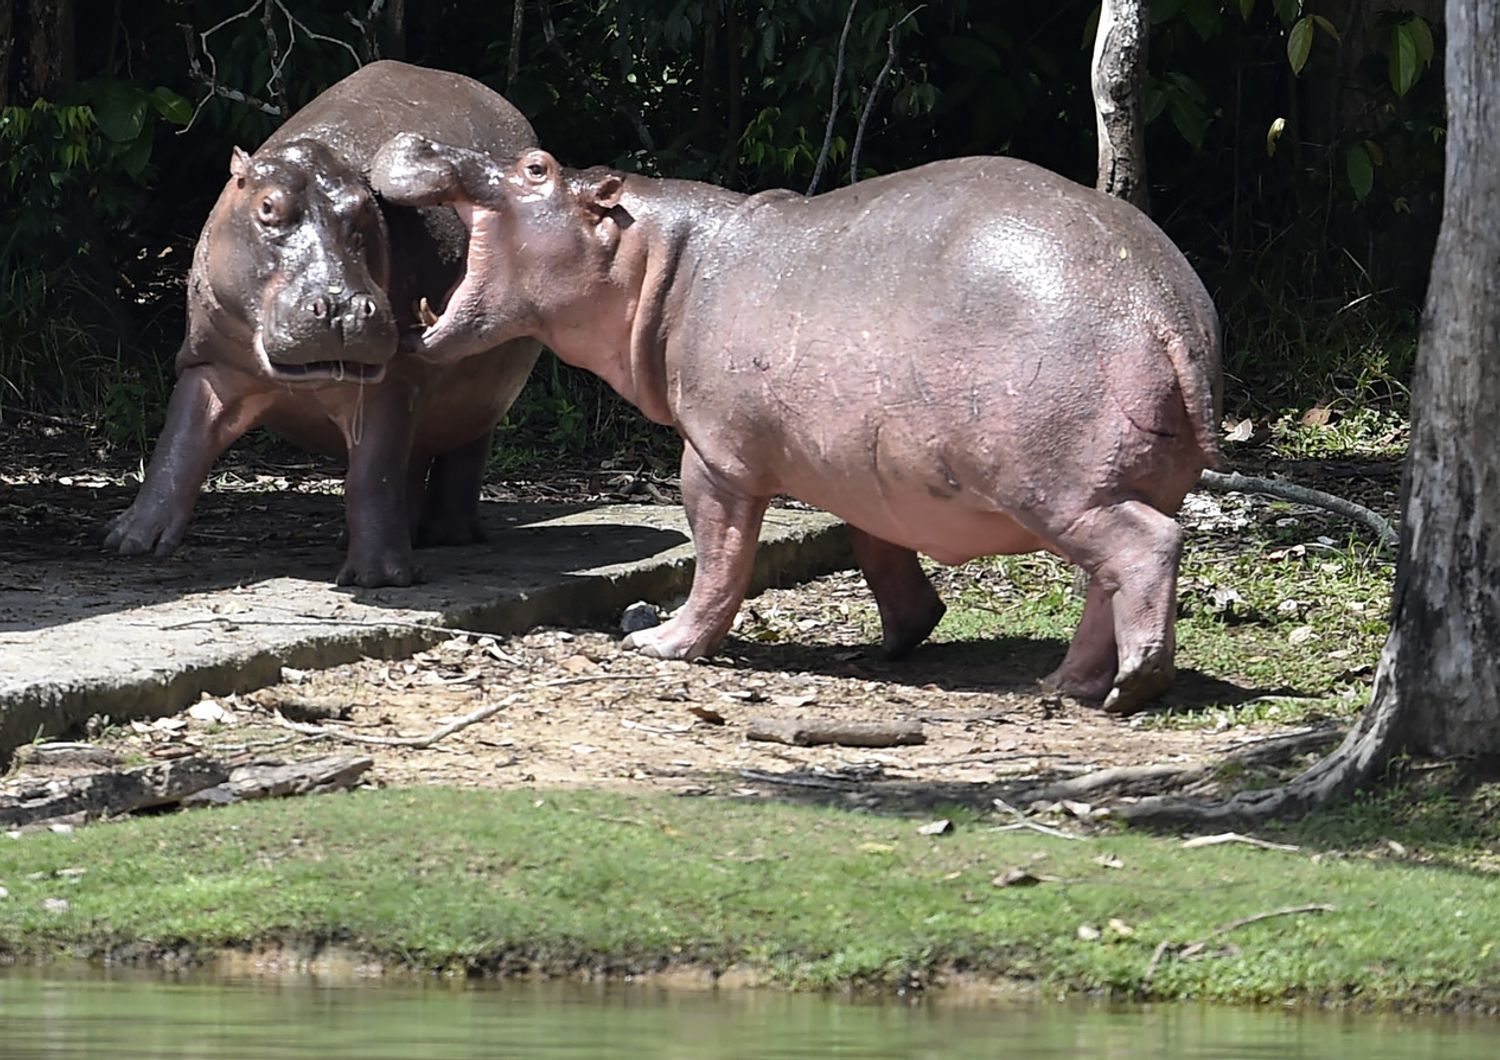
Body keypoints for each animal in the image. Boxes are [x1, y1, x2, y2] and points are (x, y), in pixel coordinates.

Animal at [105, 62, 543, 587]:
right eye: (267, 207)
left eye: (367, 212)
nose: (342, 307)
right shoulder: (210, 362)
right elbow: (180, 444)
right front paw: (128, 542)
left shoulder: (392, 382)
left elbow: (370, 476)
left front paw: (381, 578)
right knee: (414, 460)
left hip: (483, 395)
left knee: (459, 457)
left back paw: (448, 535)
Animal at [369, 132, 1224, 713]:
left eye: (536, 167)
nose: (417, 140)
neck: (654, 260)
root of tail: (1164, 311)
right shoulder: (866, 468)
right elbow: (878, 550)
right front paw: (901, 638)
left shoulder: (713, 459)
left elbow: (718, 560)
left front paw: (663, 644)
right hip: (1105, 482)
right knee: (1108, 577)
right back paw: (1066, 684)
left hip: (1057, 488)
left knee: (1146, 549)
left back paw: (1126, 688)